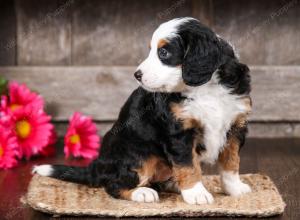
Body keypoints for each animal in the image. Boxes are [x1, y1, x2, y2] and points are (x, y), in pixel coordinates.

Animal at [32, 17, 252, 205]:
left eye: (163, 53)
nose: (137, 74)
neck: (205, 88)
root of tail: (98, 167)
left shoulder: (235, 125)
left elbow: (231, 163)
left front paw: (235, 189)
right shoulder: (179, 132)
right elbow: (188, 165)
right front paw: (196, 193)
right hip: (139, 155)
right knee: (113, 185)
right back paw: (142, 192)